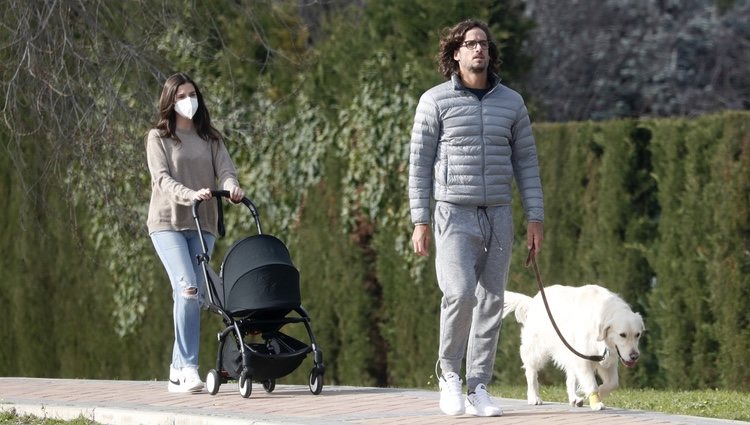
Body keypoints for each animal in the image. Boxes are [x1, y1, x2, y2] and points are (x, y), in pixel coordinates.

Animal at [502, 284, 644, 410]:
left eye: (637, 334)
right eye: (622, 335)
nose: (634, 356)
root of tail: (533, 301)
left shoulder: (608, 359)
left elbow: (613, 383)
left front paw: (590, 395)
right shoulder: (584, 358)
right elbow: (592, 384)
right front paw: (595, 402)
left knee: (570, 379)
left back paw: (575, 398)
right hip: (537, 349)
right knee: (531, 372)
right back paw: (534, 397)